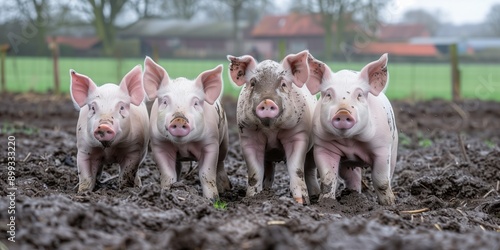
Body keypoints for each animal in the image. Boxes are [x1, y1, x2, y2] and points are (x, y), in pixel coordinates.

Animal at [143, 56, 230, 201]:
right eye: (165, 101)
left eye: (195, 103)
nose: (179, 119)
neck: (183, 145)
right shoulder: (159, 145)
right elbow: (167, 174)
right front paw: (168, 192)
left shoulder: (211, 143)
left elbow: (206, 174)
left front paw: (212, 200)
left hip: (225, 140)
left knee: (221, 163)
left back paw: (225, 189)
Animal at [227, 49, 316, 204]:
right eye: (253, 83)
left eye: (283, 84)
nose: (267, 101)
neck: (271, 131)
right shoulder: (248, 137)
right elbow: (254, 171)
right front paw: (252, 199)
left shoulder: (298, 134)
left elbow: (296, 169)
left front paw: (302, 203)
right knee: (268, 172)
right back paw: (267, 192)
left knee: (309, 169)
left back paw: (316, 195)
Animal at [304, 52, 398, 205]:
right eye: (329, 94)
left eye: (359, 95)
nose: (343, 113)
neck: (350, 142)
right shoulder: (324, 147)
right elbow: (328, 178)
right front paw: (326, 202)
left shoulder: (382, 148)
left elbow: (381, 180)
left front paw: (388, 204)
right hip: (347, 164)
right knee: (352, 177)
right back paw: (353, 195)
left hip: (394, 149)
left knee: (389, 173)